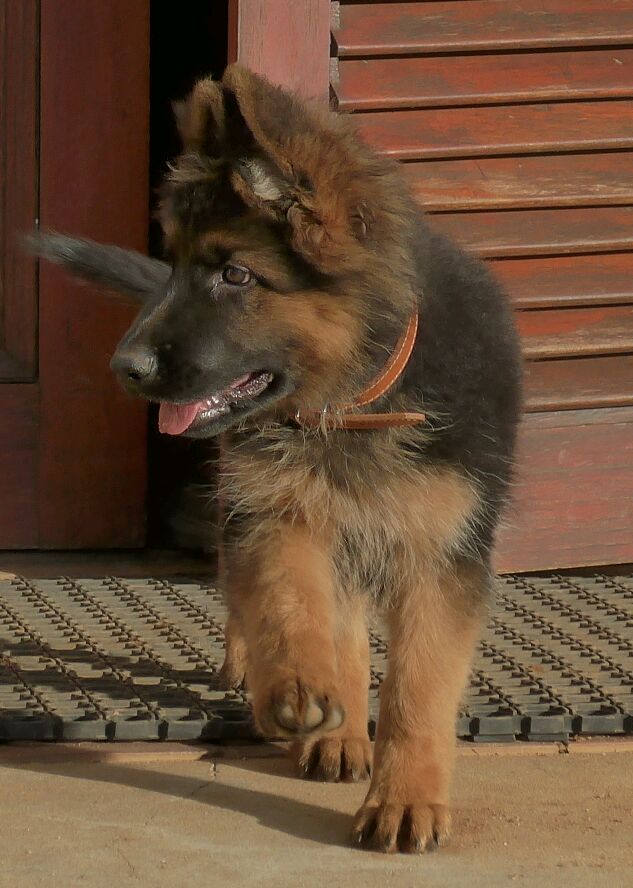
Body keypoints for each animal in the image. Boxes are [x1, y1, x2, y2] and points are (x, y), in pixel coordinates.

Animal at [31, 64, 522, 853]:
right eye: (172, 265)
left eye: (235, 276)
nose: (124, 369)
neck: (353, 402)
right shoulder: (281, 514)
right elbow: (292, 604)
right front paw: (296, 685)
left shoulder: (440, 557)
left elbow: (418, 689)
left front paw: (407, 797)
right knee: (263, 593)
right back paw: (296, 696)